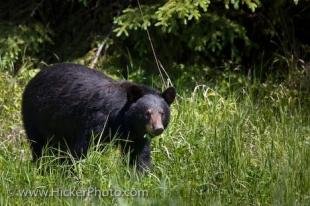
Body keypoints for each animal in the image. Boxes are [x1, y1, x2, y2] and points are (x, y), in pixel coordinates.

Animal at [21, 62, 177, 171]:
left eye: (162, 113)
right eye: (147, 113)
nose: (157, 128)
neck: (122, 120)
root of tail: (34, 77)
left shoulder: (135, 134)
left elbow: (138, 155)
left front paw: (142, 174)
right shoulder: (97, 120)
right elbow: (84, 147)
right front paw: (76, 171)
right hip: (35, 116)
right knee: (39, 145)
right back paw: (41, 166)